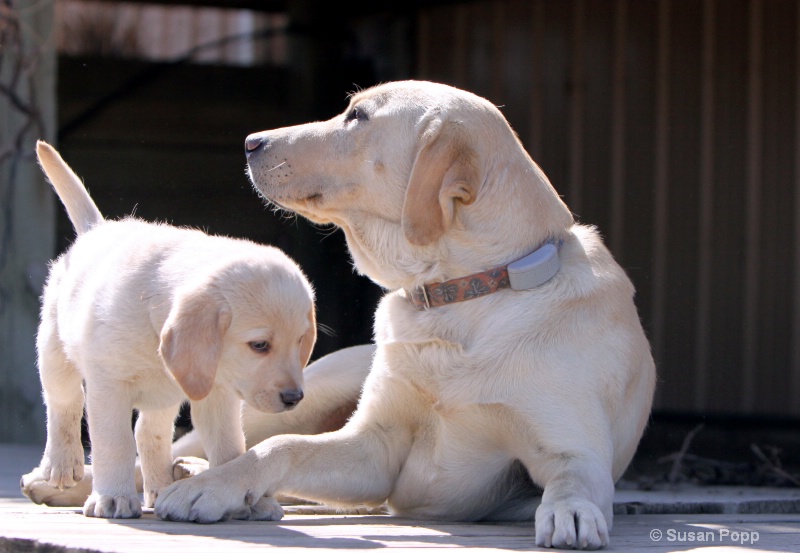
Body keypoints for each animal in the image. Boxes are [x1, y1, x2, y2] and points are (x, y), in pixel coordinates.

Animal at [21, 141, 316, 516]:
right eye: (260, 345)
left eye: (300, 342)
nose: (294, 398)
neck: (151, 309)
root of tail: (96, 230)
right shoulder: (109, 388)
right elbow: (114, 443)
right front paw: (113, 496)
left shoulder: (217, 393)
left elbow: (229, 447)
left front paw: (239, 492)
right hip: (54, 352)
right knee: (63, 404)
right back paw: (61, 464)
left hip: (162, 397)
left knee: (149, 433)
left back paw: (160, 488)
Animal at [156, 81, 656, 548]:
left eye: (357, 116)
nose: (250, 141)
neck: (461, 296)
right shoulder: (375, 447)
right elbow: (280, 449)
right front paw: (213, 487)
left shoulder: (575, 449)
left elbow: (573, 479)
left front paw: (572, 512)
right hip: (302, 393)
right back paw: (191, 469)